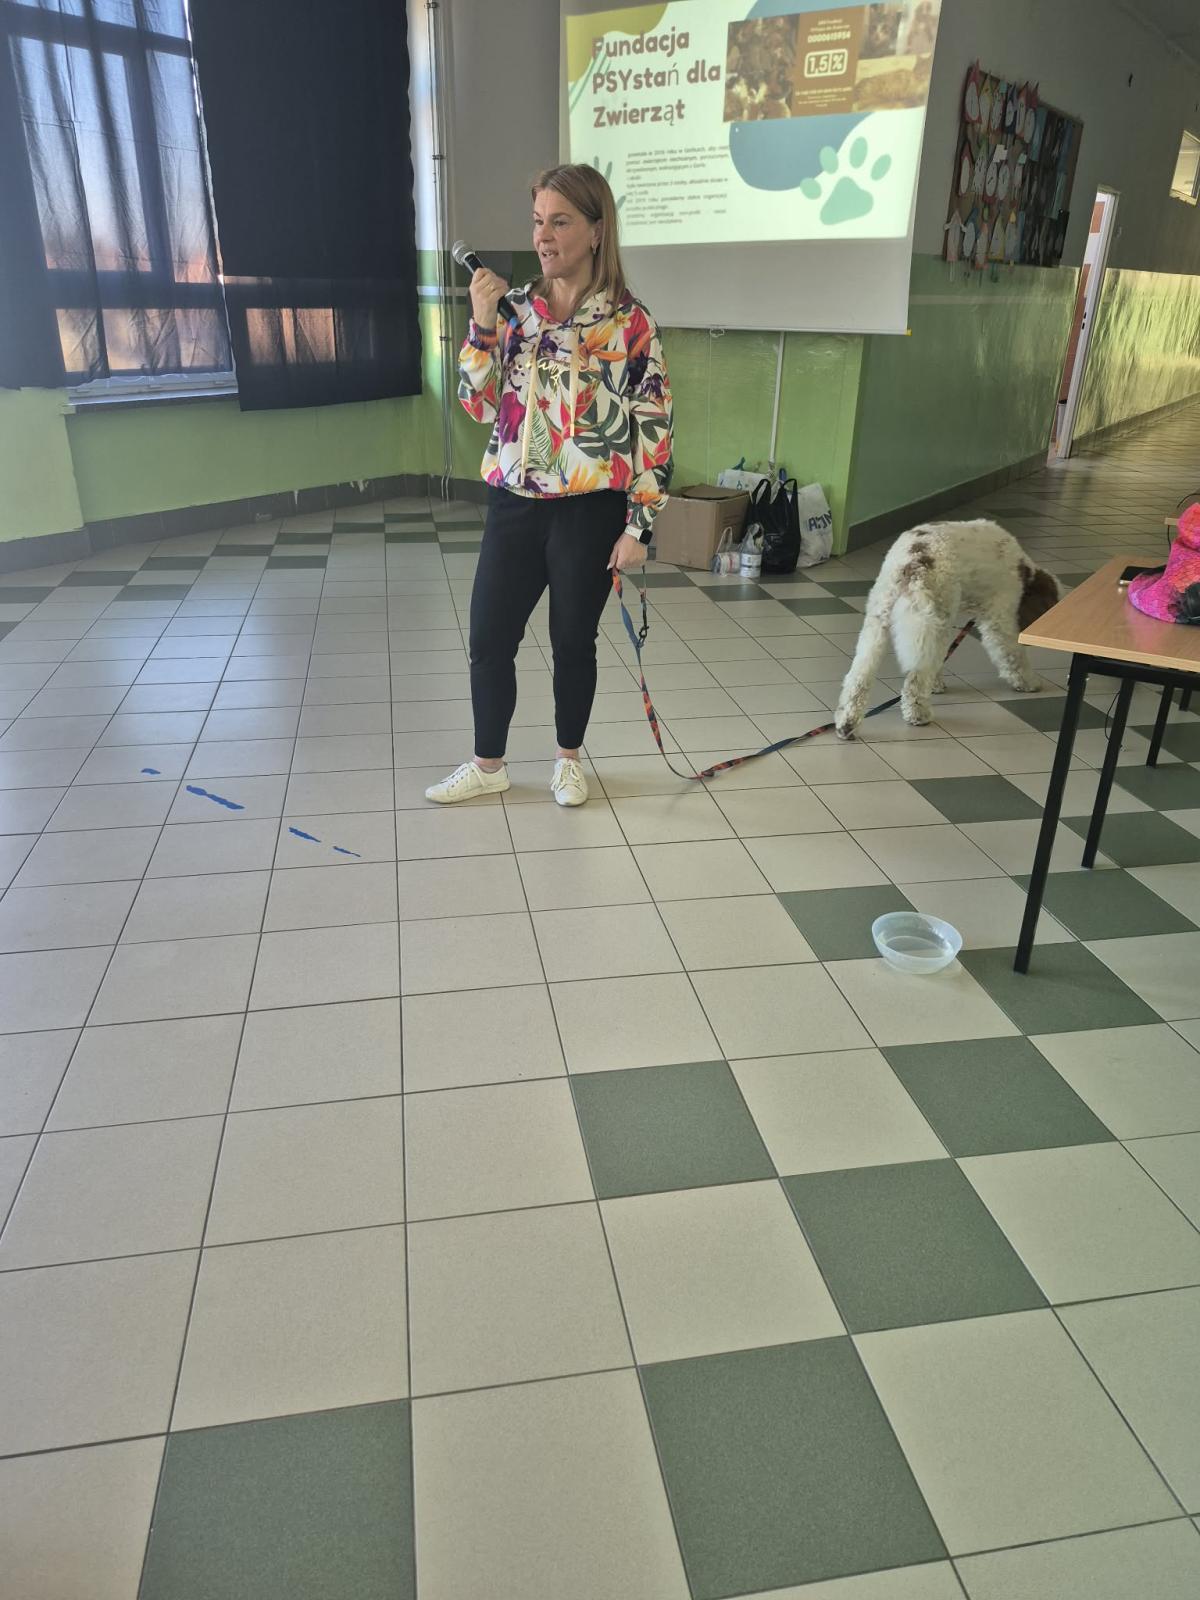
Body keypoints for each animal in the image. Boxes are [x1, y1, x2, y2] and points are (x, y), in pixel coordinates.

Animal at [835, 520, 1061, 739]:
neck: (1024, 572)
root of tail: (913, 562)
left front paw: (936, 685)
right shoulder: (1000, 618)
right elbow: (1013, 655)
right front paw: (1028, 682)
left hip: (882, 622)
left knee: (859, 677)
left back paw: (846, 724)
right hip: (932, 620)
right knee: (915, 681)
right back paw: (918, 714)